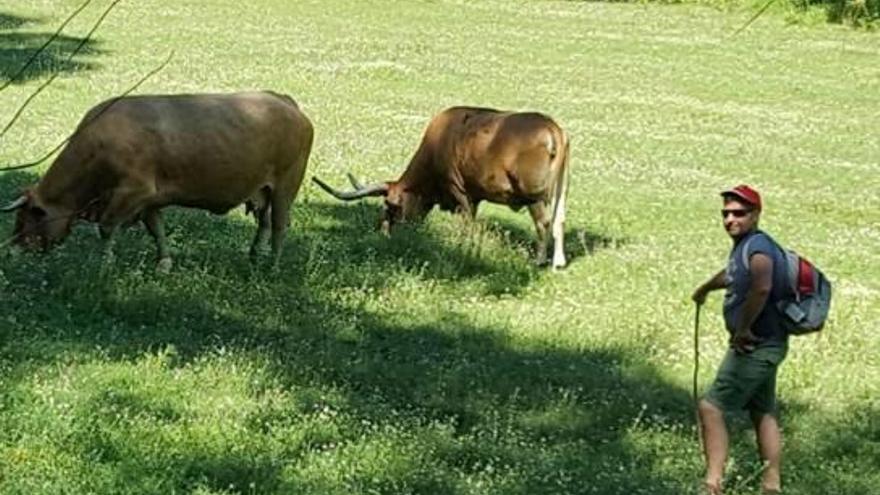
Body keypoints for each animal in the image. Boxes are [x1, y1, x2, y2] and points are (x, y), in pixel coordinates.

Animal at [0, 91, 316, 270]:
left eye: (26, 217)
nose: (12, 251)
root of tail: (284, 101)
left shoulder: (132, 192)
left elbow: (107, 228)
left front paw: (104, 265)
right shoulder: (149, 199)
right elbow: (157, 230)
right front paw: (163, 264)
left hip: (286, 186)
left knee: (279, 225)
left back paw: (272, 266)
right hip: (262, 190)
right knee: (264, 223)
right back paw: (254, 256)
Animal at [314, 104, 572, 268]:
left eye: (392, 205)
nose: (386, 234)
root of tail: (552, 128)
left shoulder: (460, 191)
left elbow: (467, 222)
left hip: (534, 195)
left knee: (544, 222)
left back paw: (540, 260)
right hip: (560, 190)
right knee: (559, 219)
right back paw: (558, 261)